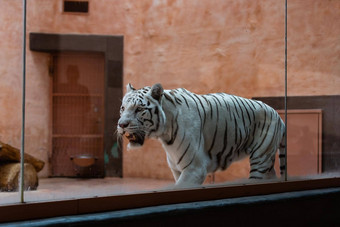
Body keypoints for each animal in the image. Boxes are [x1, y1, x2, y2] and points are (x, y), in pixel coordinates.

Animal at [118, 83, 286, 186]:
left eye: (139, 109)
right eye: (123, 108)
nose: (121, 124)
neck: (165, 133)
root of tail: (278, 116)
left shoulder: (195, 168)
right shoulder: (177, 170)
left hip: (260, 159)